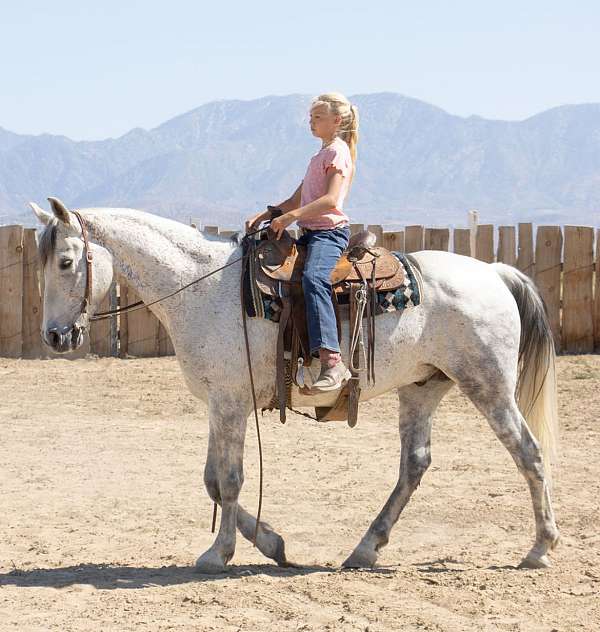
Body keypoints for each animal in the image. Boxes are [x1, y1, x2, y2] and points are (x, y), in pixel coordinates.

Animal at [31, 198, 556, 572]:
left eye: (65, 262)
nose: (55, 336)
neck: (201, 285)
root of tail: (494, 273)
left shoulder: (230, 402)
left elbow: (230, 479)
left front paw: (218, 555)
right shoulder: (219, 401)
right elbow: (211, 482)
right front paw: (271, 543)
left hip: (487, 384)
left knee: (528, 451)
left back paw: (539, 549)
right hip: (422, 387)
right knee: (415, 464)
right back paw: (365, 549)